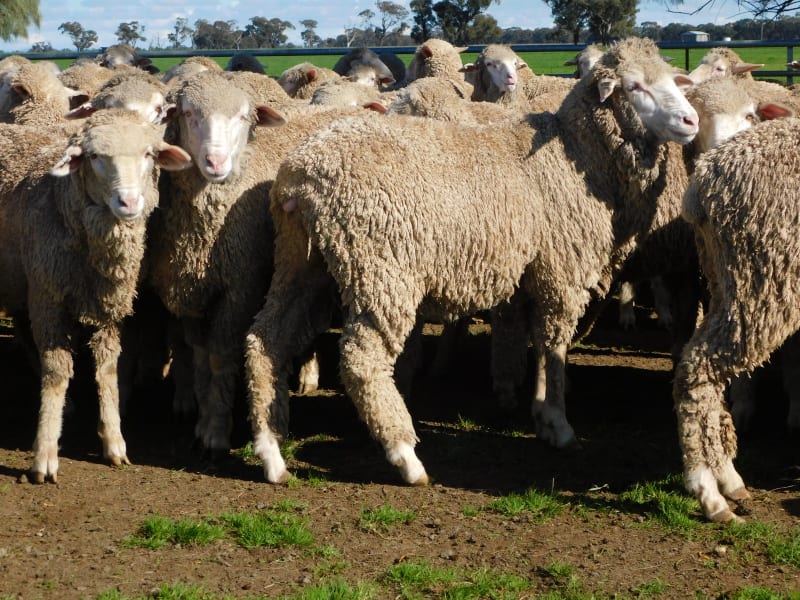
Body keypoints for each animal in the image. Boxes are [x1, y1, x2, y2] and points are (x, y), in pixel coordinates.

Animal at [0, 109, 191, 482]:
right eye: (94, 157)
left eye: (149, 153)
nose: (129, 202)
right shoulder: (48, 299)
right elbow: (56, 373)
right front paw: (45, 455)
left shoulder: (108, 305)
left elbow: (108, 371)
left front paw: (114, 441)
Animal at [245, 37, 699, 485]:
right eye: (635, 86)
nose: (691, 120)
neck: (577, 157)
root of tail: (302, 176)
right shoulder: (561, 271)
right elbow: (554, 345)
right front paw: (557, 423)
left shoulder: (531, 275)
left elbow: (532, 343)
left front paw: (535, 410)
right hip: (381, 271)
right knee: (361, 360)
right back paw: (405, 455)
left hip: (302, 262)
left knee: (265, 340)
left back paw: (271, 450)